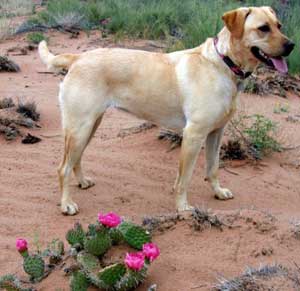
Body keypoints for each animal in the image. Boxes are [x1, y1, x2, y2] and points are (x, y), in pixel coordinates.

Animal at [38, 5, 292, 216]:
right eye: (263, 28)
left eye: (279, 26)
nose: (291, 46)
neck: (223, 63)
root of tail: (78, 57)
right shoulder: (194, 135)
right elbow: (184, 179)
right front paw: (182, 208)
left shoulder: (216, 133)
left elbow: (213, 168)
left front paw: (218, 192)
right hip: (80, 127)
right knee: (63, 168)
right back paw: (66, 204)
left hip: (90, 125)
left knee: (76, 159)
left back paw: (81, 182)